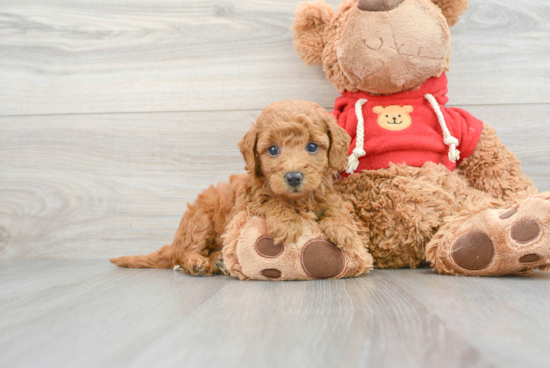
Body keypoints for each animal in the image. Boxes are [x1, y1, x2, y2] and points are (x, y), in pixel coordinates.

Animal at [112, 99, 370, 278]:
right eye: (273, 150)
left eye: (312, 146)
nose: (294, 177)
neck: (297, 199)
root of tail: (173, 243)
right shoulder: (248, 202)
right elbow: (270, 200)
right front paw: (287, 222)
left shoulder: (326, 195)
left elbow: (335, 209)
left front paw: (344, 230)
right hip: (200, 221)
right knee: (187, 253)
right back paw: (198, 263)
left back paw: (218, 262)